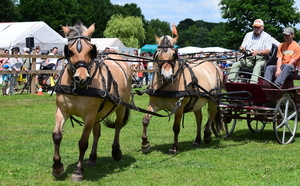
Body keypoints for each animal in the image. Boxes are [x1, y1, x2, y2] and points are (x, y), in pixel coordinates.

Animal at [52, 22, 132, 181]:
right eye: (69, 51)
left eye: (90, 51)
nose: (81, 78)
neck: (77, 88)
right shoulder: (62, 111)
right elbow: (57, 136)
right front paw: (57, 168)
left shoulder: (89, 115)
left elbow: (83, 142)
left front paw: (78, 171)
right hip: (98, 113)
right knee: (97, 132)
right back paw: (92, 158)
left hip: (120, 107)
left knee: (118, 126)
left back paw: (116, 151)